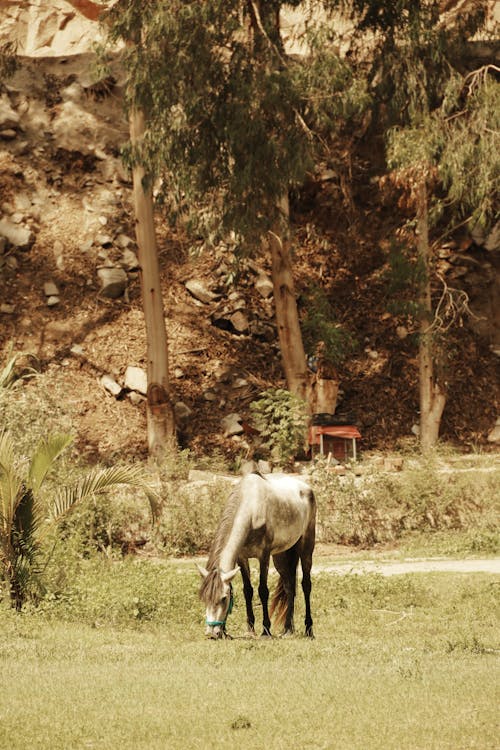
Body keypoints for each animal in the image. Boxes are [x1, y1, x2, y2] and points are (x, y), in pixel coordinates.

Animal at [196, 470, 316, 640]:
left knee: (306, 585)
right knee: (289, 588)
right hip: (280, 555)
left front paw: (265, 630)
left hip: (306, 547)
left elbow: (263, 591)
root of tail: (306, 488)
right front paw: (249, 629)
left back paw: (309, 630)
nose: (212, 633)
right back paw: (287, 629)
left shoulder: (263, 556)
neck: (251, 508)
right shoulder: (241, 557)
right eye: (204, 598)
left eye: (224, 598)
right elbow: (248, 591)